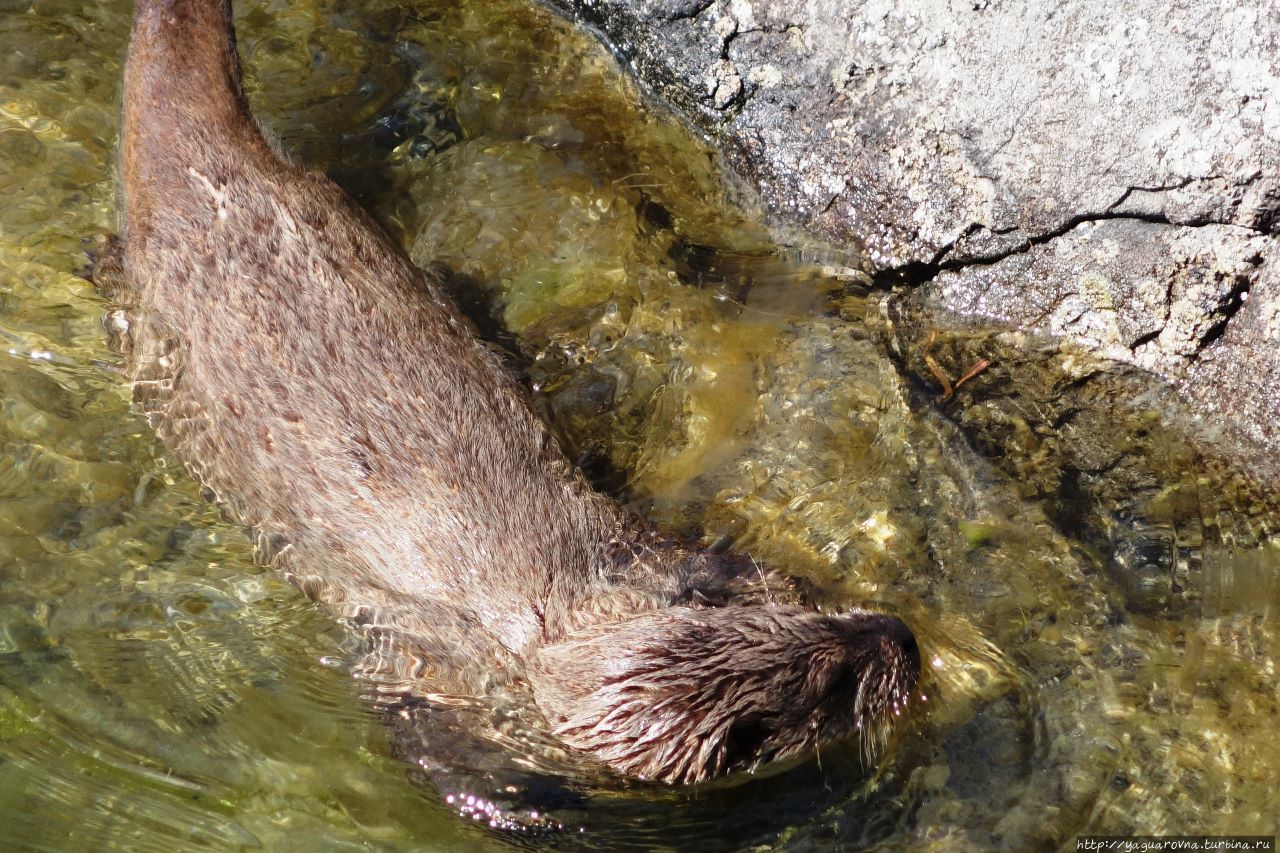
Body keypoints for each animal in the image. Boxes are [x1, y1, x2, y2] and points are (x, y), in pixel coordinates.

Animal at [112, 0, 921, 819]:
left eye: (810, 616)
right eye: (834, 682)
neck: (538, 619)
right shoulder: (430, 672)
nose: (900, 637)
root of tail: (213, 177)